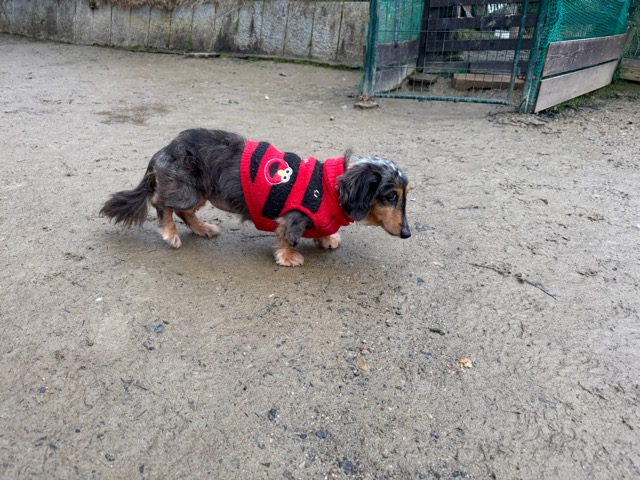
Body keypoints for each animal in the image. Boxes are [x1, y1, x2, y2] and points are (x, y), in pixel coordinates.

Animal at [100, 129, 411, 266]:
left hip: (200, 192)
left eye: (404, 195)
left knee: (185, 212)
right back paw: (169, 233)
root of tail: (164, 149)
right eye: (391, 196)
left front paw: (327, 237)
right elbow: (287, 236)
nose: (407, 233)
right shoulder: (292, 216)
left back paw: (203, 229)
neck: (330, 189)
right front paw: (288, 256)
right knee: (161, 204)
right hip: (186, 191)